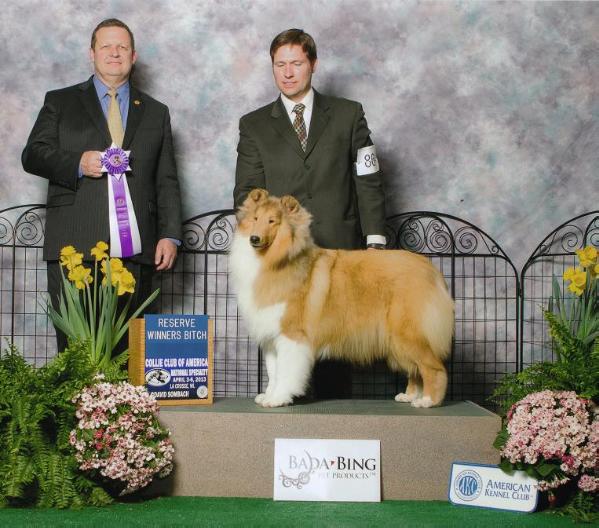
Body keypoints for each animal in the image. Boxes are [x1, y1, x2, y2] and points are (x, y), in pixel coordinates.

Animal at [230, 189, 454, 408]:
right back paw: (409, 396)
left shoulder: (291, 334)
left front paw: (278, 399)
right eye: (255, 218)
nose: (254, 239)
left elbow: (285, 372)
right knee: (415, 369)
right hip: (397, 339)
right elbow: (273, 372)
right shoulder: (271, 336)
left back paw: (427, 401)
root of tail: (431, 269)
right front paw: (268, 396)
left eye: (272, 221)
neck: (272, 260)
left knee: (434, 368)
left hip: (408, 332)